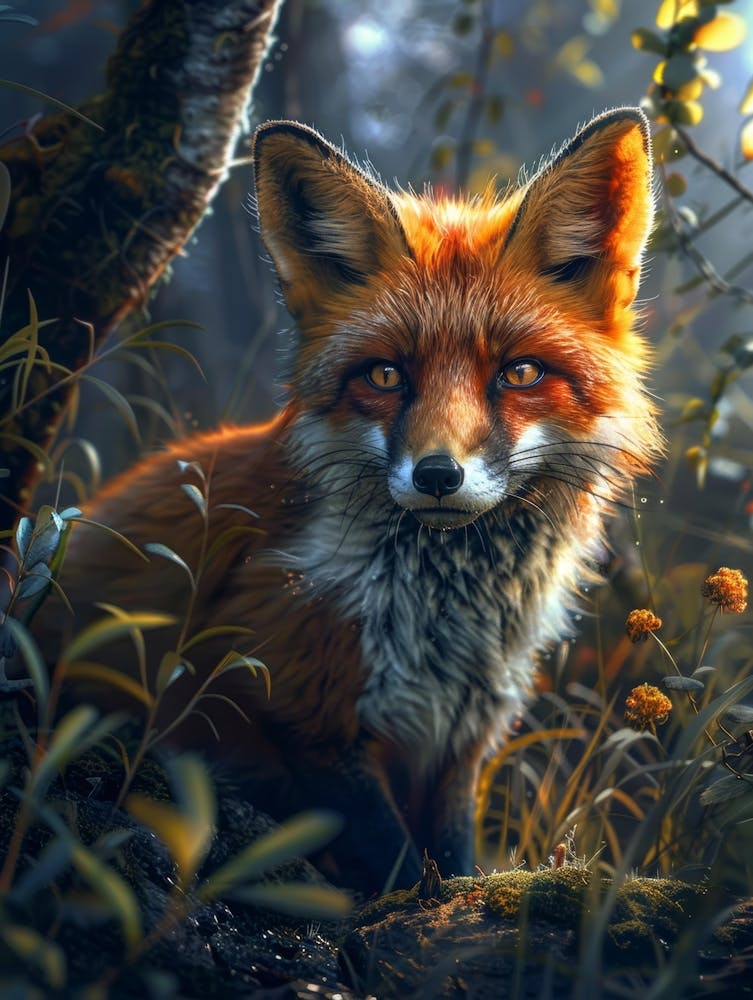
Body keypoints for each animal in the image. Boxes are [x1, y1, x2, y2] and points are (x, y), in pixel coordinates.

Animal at [33, 108, 661, 895]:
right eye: (386, 375)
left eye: (519, 373)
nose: (437, 476)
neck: (447, 616)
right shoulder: (304, 705)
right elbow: (396, 868)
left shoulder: (460, 734)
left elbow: (451, 859)